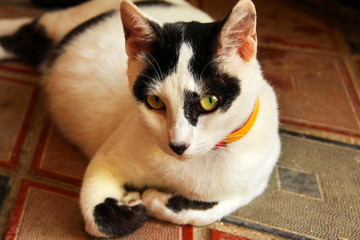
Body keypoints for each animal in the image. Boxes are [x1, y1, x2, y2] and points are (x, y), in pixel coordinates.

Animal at [0, 0, 282, 237]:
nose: (177, 145)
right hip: (56, 24)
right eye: (155, 101)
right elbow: (98, 221)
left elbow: (205, 211)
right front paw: (133, 206)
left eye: (209, 101)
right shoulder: (107, 159)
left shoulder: (254, 182)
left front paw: (153, 199)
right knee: (25, 28)